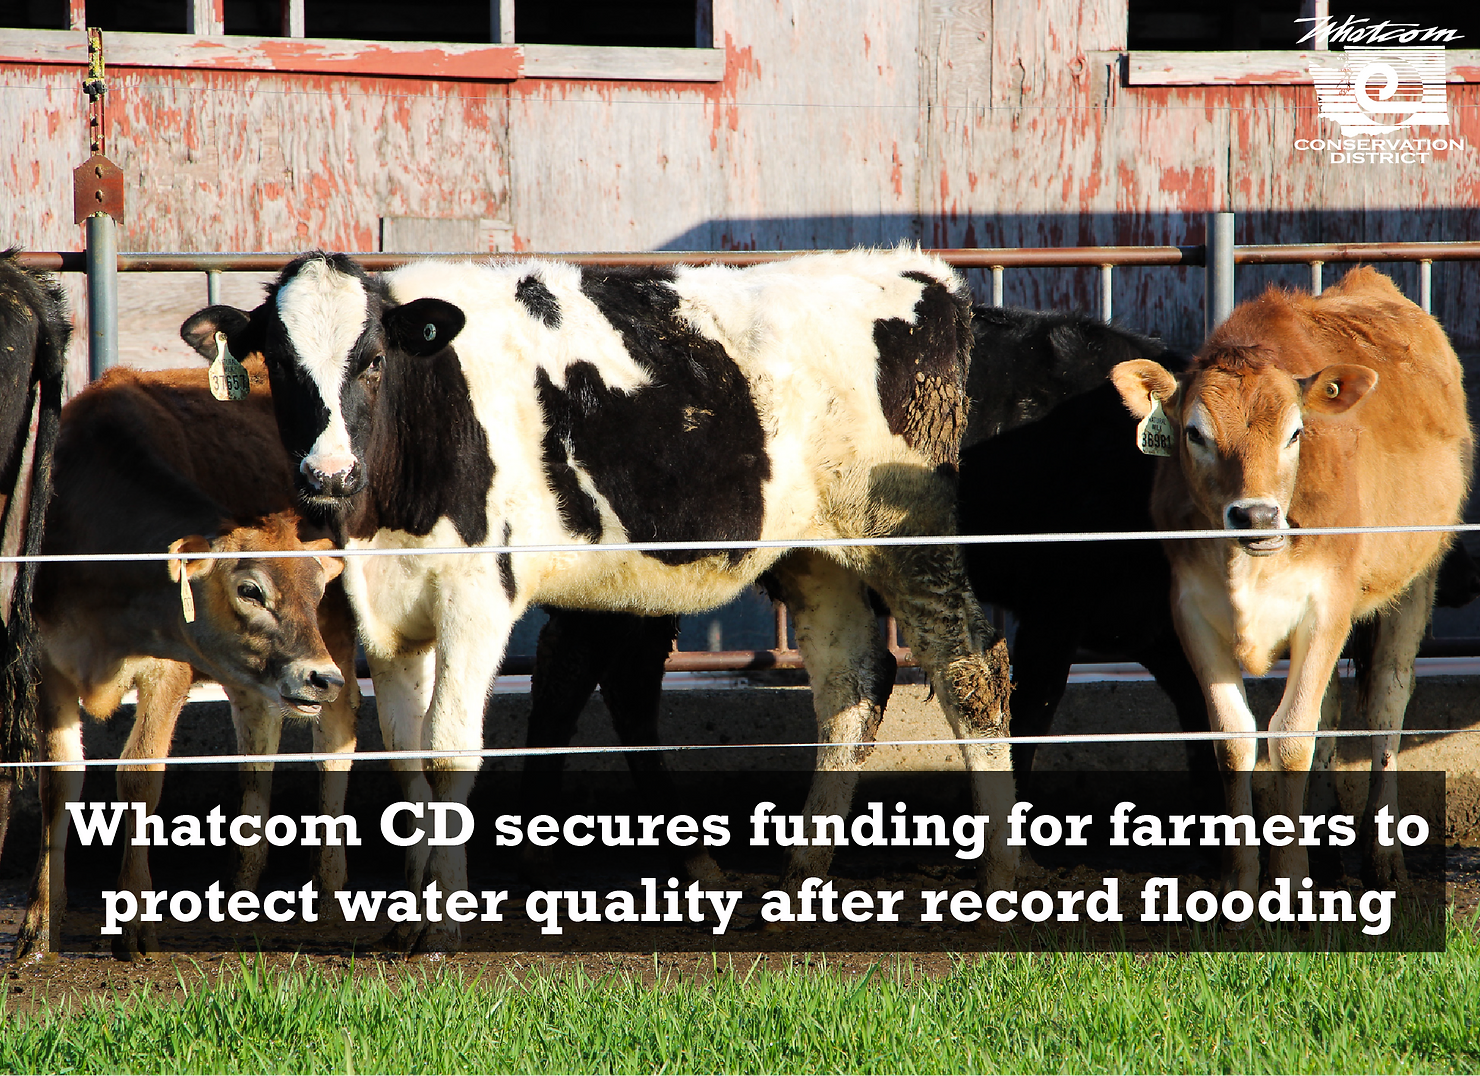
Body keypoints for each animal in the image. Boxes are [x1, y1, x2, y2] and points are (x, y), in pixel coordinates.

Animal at [15, 361, 359, 960]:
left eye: (315, 590)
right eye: (250, 590)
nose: (318, 678)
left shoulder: (166, 668)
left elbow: (138, 776)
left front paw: (134, 922)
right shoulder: (47, 665)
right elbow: (58, 782)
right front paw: (40, 923)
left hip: (334, 643)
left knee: (335, 743)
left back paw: (330, 884)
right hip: (253, 678)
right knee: (258, 741)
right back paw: (242, 886)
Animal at [183, 248, 1016, 953]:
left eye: (373, 360)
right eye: (279, 364)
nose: (328, 475)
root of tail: (925, 277)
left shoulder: (477, 595)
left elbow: (450, 752)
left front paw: (443, 928)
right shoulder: (391, 616)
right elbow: (409, 760)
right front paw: (411, 916)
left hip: (918, 542)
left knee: (971, 674)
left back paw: (1000, 886)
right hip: (816, 559)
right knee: (851, 688)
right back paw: (799, 887)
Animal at [1111, 267, 1473, 894]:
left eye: (1296, 433)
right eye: (1193, 433)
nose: (1255, 515)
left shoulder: (1327, 604)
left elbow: (1290, 737)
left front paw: (1288, 881)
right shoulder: (1191, 611)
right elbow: (1236, 741)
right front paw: (1241, 882)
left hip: (1417, 580)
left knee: (1386, 704)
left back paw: (1383, 857)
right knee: (1331, 710)